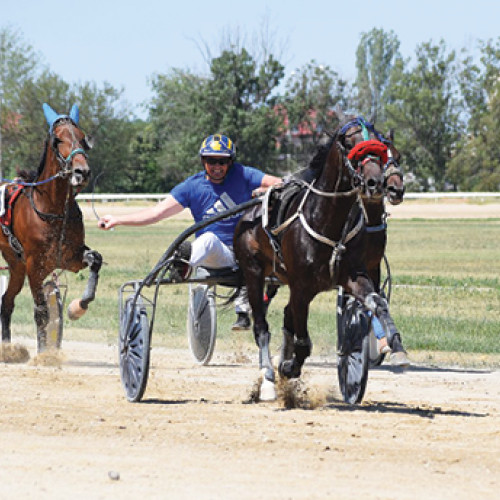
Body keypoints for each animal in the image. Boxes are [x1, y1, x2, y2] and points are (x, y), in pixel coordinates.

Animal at [0, 102, 102, 352]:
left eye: (83, 138)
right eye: (58, 140)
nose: (82, 172)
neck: (54, 210)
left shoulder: (69, 258)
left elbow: (95, 259)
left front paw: (79, 306)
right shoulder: (34, 265)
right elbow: (42, 312)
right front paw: (44, 353)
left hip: (15, 265)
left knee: (6, 302)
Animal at [235, 114, 406, 402]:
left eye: (382, 149)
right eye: (350, 144)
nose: (378, 184)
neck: (327, 220)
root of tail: (250, 212)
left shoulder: (356, 274)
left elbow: (377, 302)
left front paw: (394, 344)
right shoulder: (301, 286)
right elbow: (303, 342)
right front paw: (289, 367)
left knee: (286, 316)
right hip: (253, 272)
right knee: (262, 326)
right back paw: (269, 380)